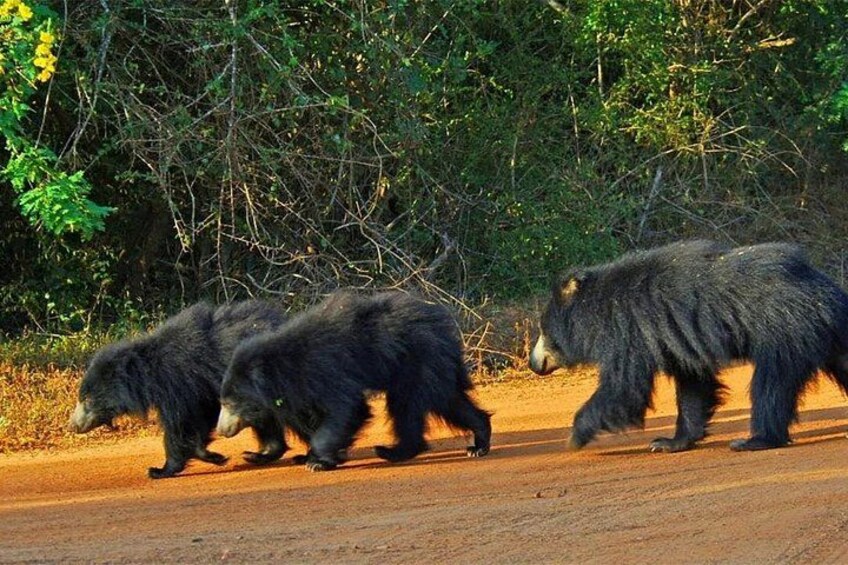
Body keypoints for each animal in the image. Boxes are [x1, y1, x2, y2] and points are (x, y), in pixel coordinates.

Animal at [69, 300, 290, 478]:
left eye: (87, 399)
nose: (72, 426)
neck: (148, 372)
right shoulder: (200, 390)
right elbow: (201, 418)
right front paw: (212, 456)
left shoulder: (178, 383)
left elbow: (180, 424)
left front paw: (159, 470)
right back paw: (259, 455)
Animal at [215, 290, 492, 471]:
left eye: (229, 404)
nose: (221, 430)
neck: (284, 368)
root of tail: (444, 326)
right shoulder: (302, 389)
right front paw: (309, 457)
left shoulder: (328, 371)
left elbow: (348, 410)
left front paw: (318, 462)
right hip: (431, 365)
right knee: (450, 401)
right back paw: (478, 442)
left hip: (418, 361)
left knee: (408, 407)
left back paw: (392, 451)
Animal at [529, 240, 848, 453]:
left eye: (544, 332)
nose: (533, 364)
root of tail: (827, 291)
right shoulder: (676, 340)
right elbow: (694, 386)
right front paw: (668, 442)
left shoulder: (627, 331)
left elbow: (624, 388)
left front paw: (574, 436)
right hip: (824, 336)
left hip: (785, 330)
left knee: (771, 384)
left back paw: (754, 440)